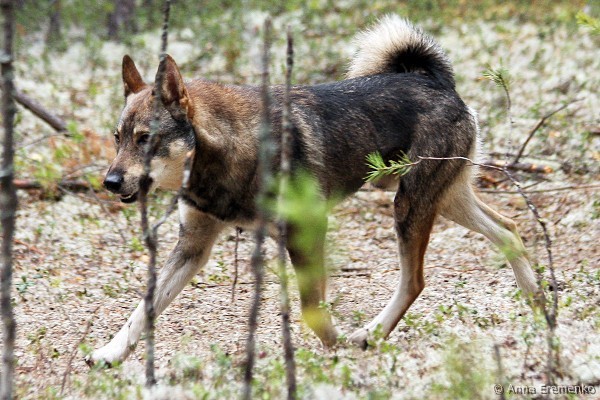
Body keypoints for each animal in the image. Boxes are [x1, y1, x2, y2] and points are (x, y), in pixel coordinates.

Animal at [88, 15, 539, 365]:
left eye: (146, 139)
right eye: (118, 138)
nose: (110, 182)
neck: (227, 154)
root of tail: (435, 82)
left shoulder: (307, 230)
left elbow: (312, 311)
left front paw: (335, 353)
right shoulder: (192, 247)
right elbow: (142, 310)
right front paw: (111, 352)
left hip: (410, 208)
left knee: (415, 281)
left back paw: (371, 334)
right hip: (440, 201)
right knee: (510, 229)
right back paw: (537, 302)